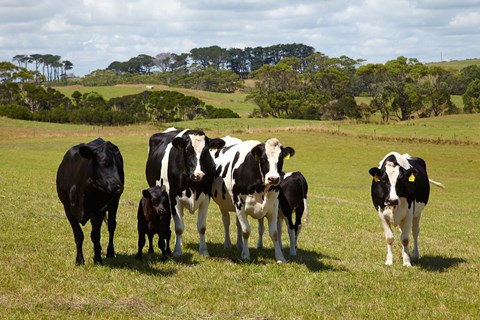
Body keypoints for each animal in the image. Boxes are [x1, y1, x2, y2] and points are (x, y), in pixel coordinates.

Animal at [144, 127, 225, 258]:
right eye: (188, 151)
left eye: (206, 152)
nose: (199, 175)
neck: (192, 185)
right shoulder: (174, 199)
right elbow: (179, 227)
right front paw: (177, 251)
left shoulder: (206, 198)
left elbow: (202, 227)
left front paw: (204, 250)